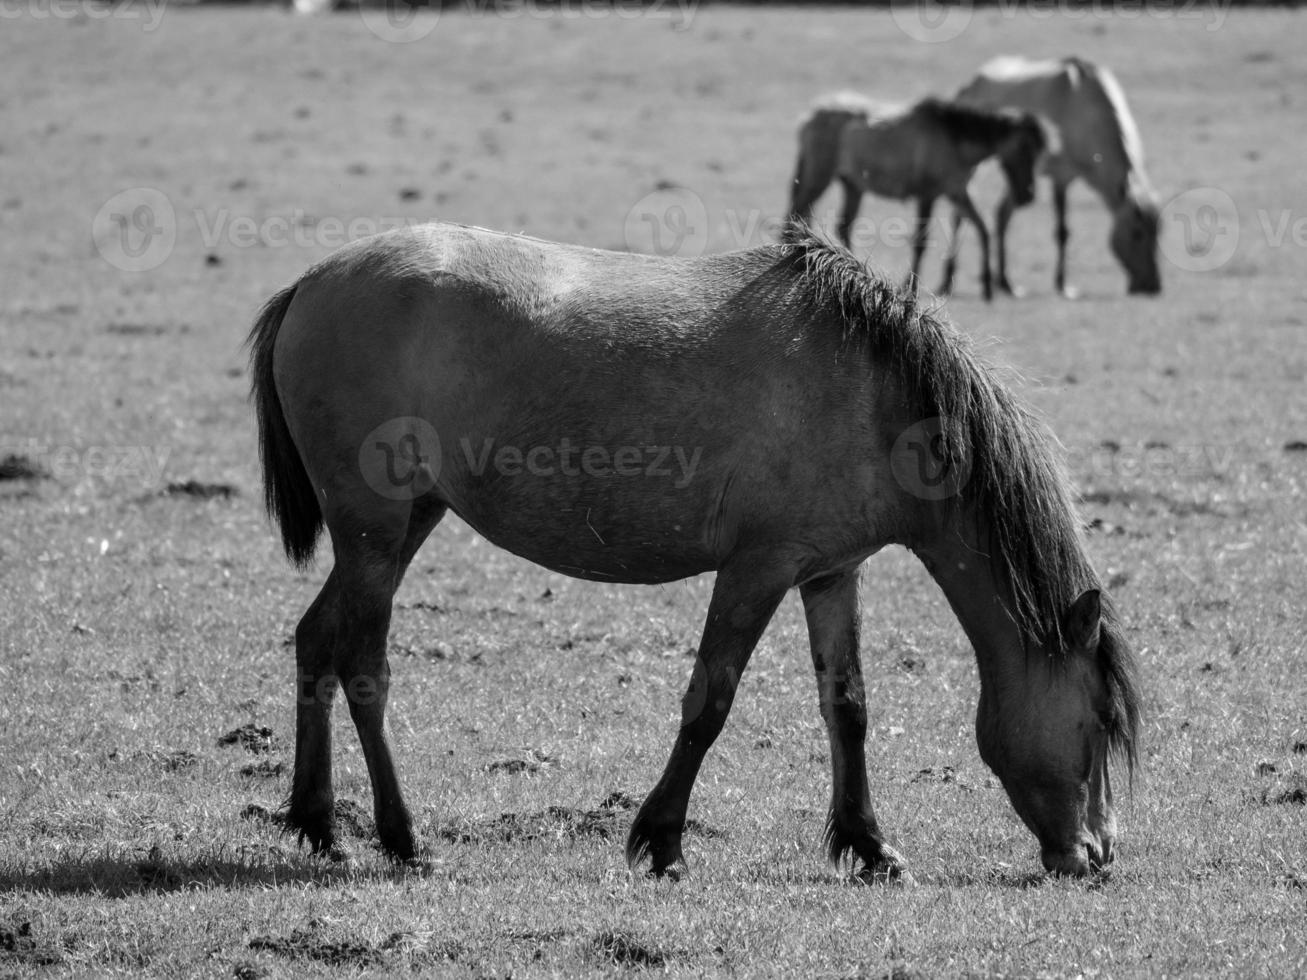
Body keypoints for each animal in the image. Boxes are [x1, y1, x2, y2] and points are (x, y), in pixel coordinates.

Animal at [247, 222, 1144, 883]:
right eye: (1100, 720)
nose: (1093, 856)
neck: (874, 394)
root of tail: (312, 283)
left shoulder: (829, 573)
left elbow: (847, 708)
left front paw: (868, 845)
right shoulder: (757, 570)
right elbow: (709, 703)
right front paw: (662, 841)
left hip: (403, 527)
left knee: (314, 642)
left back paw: (319, 823)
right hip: (374, 533)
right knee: (363, 666)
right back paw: (401, 839)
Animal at [778, 96, 1045, 303]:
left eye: (1038, 151)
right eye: (1024, 148)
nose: (1028, 195)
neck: (954, 139)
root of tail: (810, 118)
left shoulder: (958, 192)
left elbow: (983, 229)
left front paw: (988, 284)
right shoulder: (927, 194)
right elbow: (921, 241)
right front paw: (911, 287)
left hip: (852, 185)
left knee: (842, 226)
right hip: (818, 177)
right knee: (796, 216)